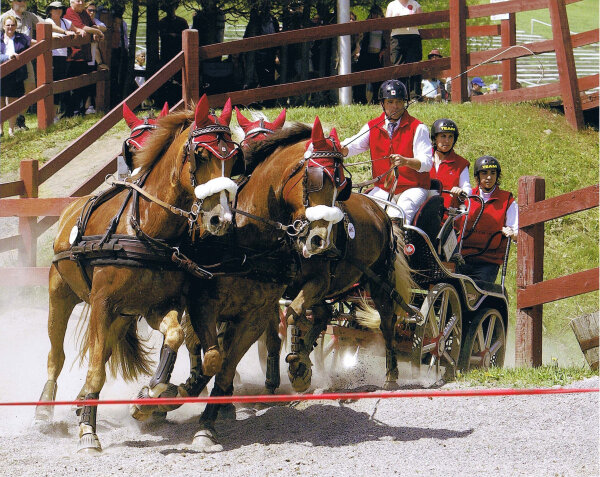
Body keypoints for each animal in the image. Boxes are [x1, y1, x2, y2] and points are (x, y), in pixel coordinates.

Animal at [33, 95, 241, 452]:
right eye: (201, 155)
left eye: (234, 156)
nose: (221, 219)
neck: (144, 225)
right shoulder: (102, 304)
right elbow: (96, 370)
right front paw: (89, 432)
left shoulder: (156, 305)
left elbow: (175, 337)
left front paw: (153, 394)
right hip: (61, 294)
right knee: (57, 354)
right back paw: (46, 408)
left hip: (122, 315)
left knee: (103, 352)